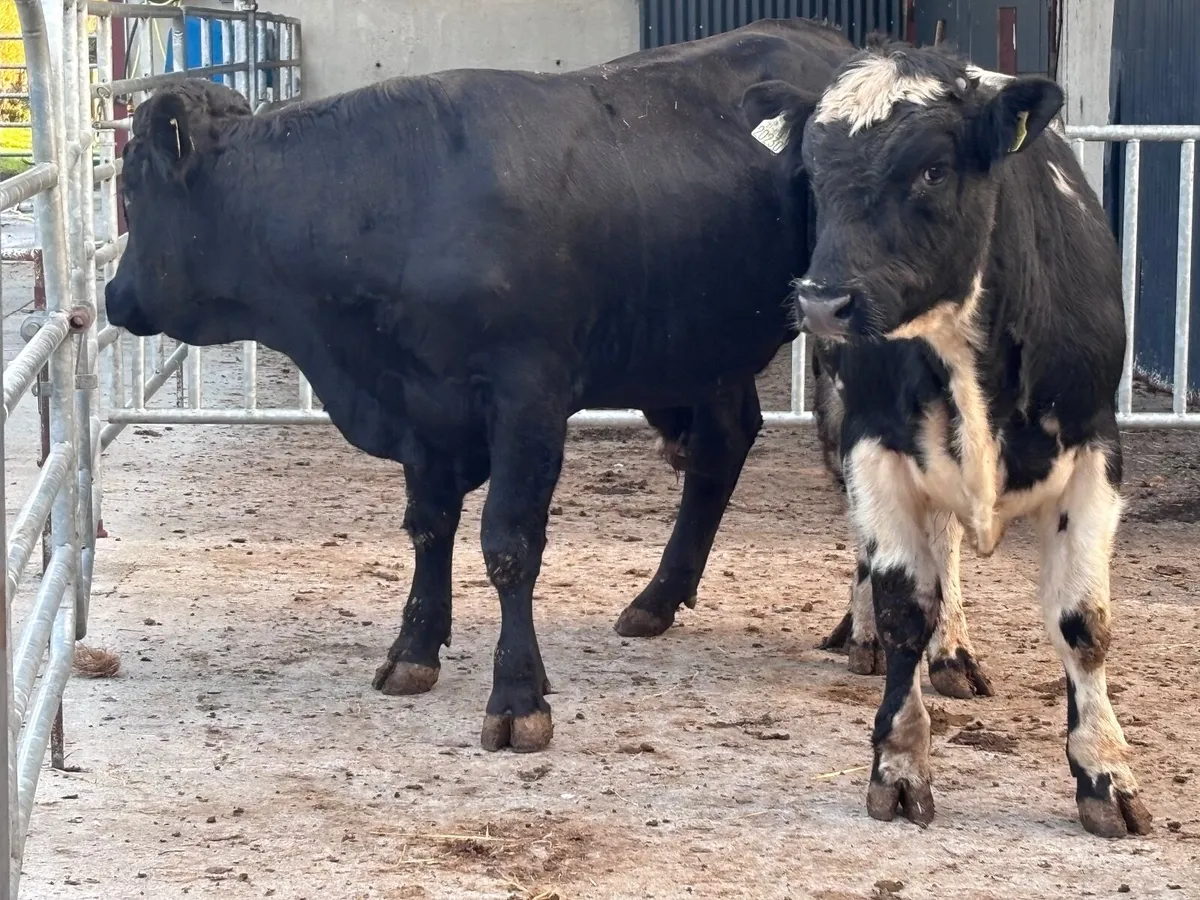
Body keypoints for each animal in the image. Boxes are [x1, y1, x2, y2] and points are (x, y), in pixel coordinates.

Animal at [107, 19, 873, 754]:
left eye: (129, 188)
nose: (114, 297)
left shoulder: (526, 397)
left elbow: (509, 543)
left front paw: (517, 698)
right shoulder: (420, 403)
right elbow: (428, 525)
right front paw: (414, 649)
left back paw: (855, 631)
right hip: (705, 343)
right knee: (723, 447)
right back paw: (657, 598)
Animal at [742, 38, 1153, 837]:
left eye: (933, 169)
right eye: (814, 172)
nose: (824, 302)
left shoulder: (1097, 450)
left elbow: (1084, 622)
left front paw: (1107, 773)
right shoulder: (872, 443)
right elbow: (905, 605)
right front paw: (899, 765)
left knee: (948, 546)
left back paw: (954, 651)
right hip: (841, 423)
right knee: (882, 552)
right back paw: (868, 633)